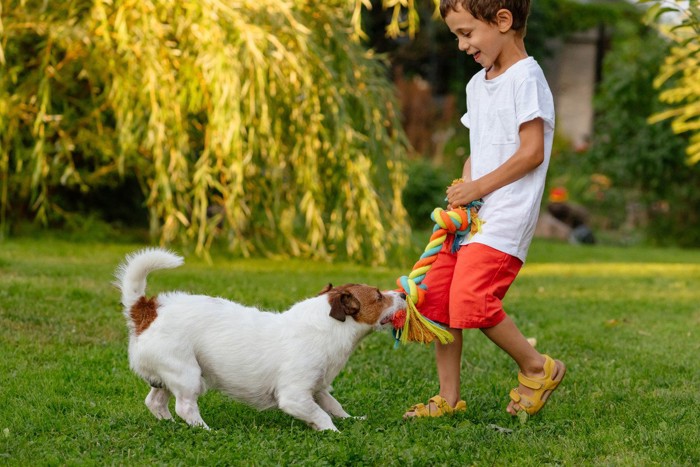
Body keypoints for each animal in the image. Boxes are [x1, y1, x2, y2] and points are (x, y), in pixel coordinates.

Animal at [115, 249, 408, 432]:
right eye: (378, 296)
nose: (404, 294)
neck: (327, 326)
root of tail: (146, 310)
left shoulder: (318, 388)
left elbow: (333, 406)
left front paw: (351, 419)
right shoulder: (294, 396)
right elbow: (321, 414)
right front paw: (333, 431)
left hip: (166, 377)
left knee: (155, 401)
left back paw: (171, 426)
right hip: (187, 374)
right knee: (185, 407)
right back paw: (206, 430)